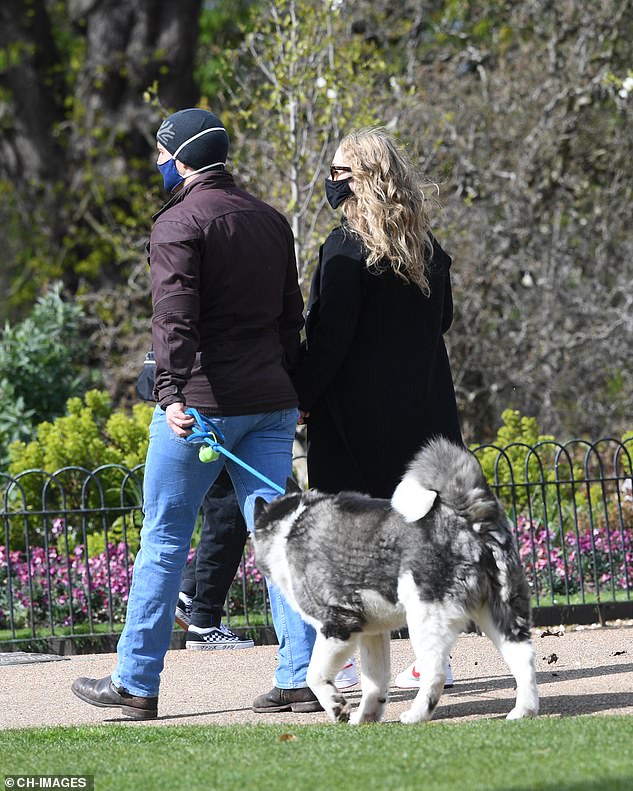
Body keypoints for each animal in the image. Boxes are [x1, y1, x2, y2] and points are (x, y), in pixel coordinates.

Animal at [252, 440, 540, 724]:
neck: (289, 525)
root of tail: (465, 517)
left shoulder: (337, 625)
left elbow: (315, 675)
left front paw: (337, 708)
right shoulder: (372, 633)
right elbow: (374, 683)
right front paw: (365, 718)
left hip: (425, 619)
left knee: (435, 673)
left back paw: (416, 715)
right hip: (499, 613)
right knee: (523, 658)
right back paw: (523, 711)